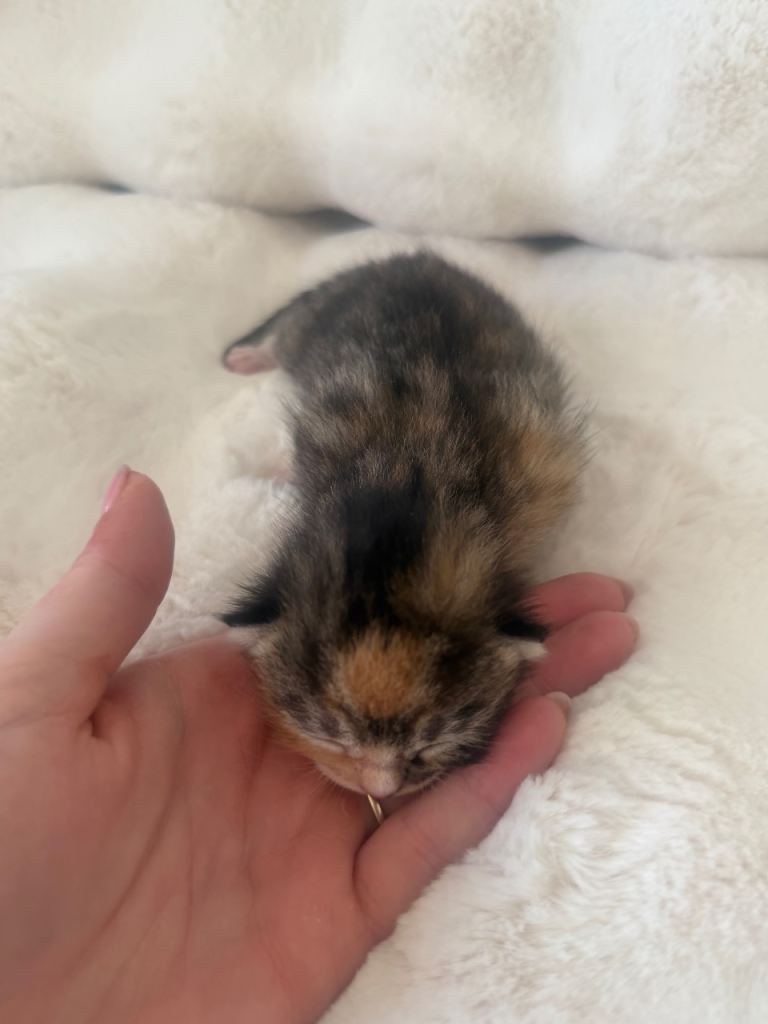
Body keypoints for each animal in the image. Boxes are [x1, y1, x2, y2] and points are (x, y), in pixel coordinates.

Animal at [222, 252, 585, 799]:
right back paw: (247, 357)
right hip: (316, 320)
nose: (382, 790)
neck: (407, 483)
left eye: (429, 743)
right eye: (333, 734)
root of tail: (409, 259)